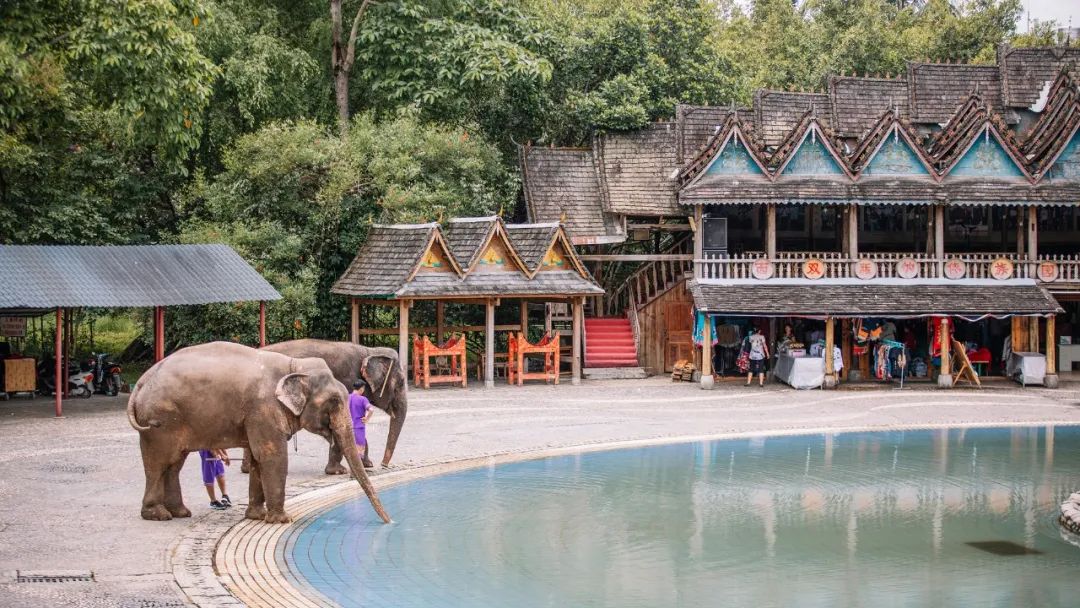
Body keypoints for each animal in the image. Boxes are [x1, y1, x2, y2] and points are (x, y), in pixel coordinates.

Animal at [125, 343, 390, 522]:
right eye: (334, 401)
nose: (389, 522)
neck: (294, 365)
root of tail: (141, 382)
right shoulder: (263, 409)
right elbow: (271, 455)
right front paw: (282, 520)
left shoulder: (258, 416)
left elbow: (256, 458)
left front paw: (256, 516)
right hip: (159, 422)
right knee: (158, 463)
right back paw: (158, 514)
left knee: (174, 464)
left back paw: (180, 512)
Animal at [261, 341, 408, 473]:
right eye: (401, 382)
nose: (383, 465)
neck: (370, 350)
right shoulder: (346, 384)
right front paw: (339, 471)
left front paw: (367, 464)